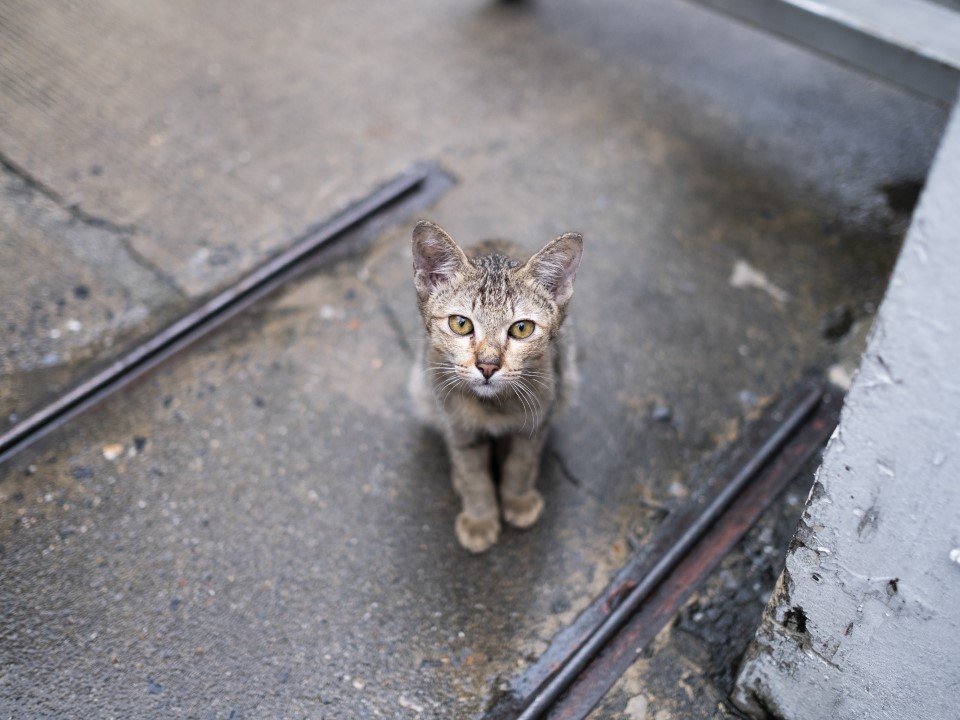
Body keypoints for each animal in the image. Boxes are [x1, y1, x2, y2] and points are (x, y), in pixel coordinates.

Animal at [408, 222, 580, 556]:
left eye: (522, 328)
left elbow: (521, 463)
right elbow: (473, 474)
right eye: (460, 324)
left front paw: (517, 499)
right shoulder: (458, 426)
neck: (493, 406)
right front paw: (480, 519)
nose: (487, 366)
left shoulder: (539, 417)